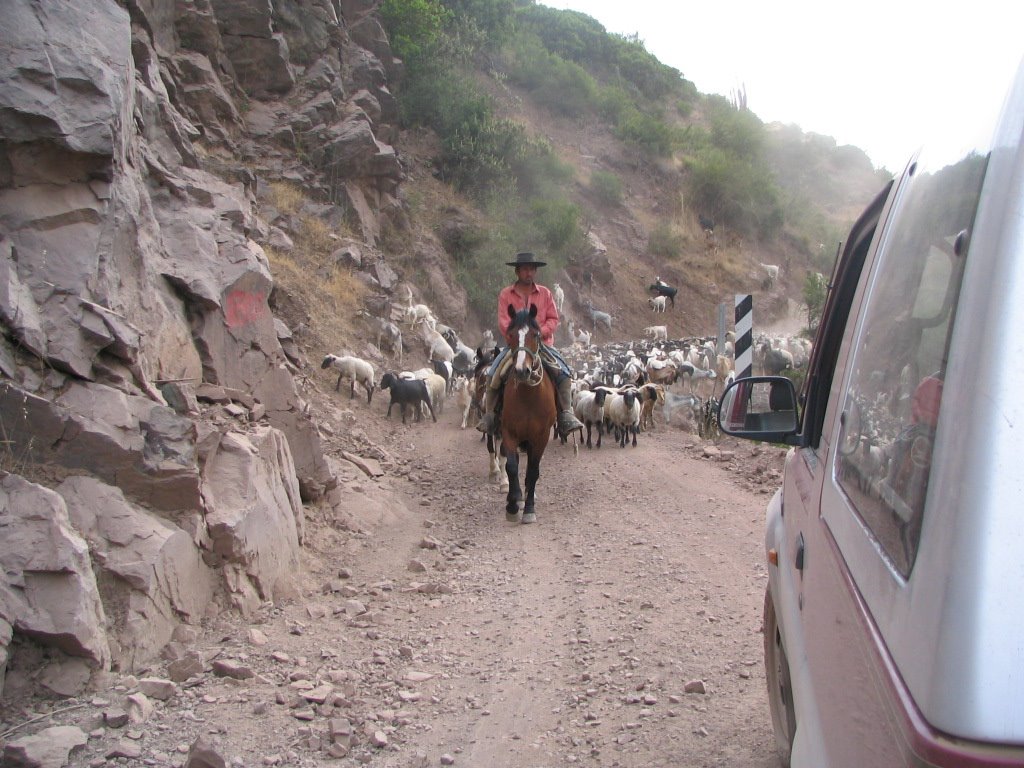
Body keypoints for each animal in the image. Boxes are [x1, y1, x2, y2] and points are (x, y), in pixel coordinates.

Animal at [499, 303, 557, 528]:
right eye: (511, 334)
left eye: (536, 334)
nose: (522, 371)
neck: (528, 397)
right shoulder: (509, 432)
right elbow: (511, 467)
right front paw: (512, 505)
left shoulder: (541, 437)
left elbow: (533, 472)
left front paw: (529, 509)